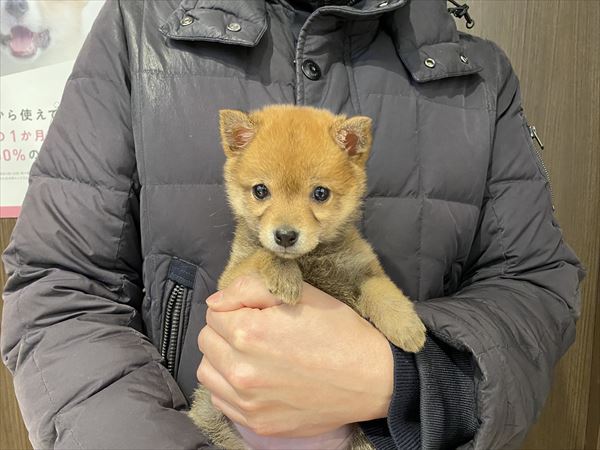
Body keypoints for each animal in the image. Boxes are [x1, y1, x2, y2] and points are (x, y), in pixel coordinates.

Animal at [189, 104, 426, 450]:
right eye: (261, 190)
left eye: (320, 193)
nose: (286, 235)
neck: (310, 260)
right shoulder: (231, 280)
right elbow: (264, 254)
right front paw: (287, 279)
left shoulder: (363, 269)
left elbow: (383, 291)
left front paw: (406, 328)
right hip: (211, 415)